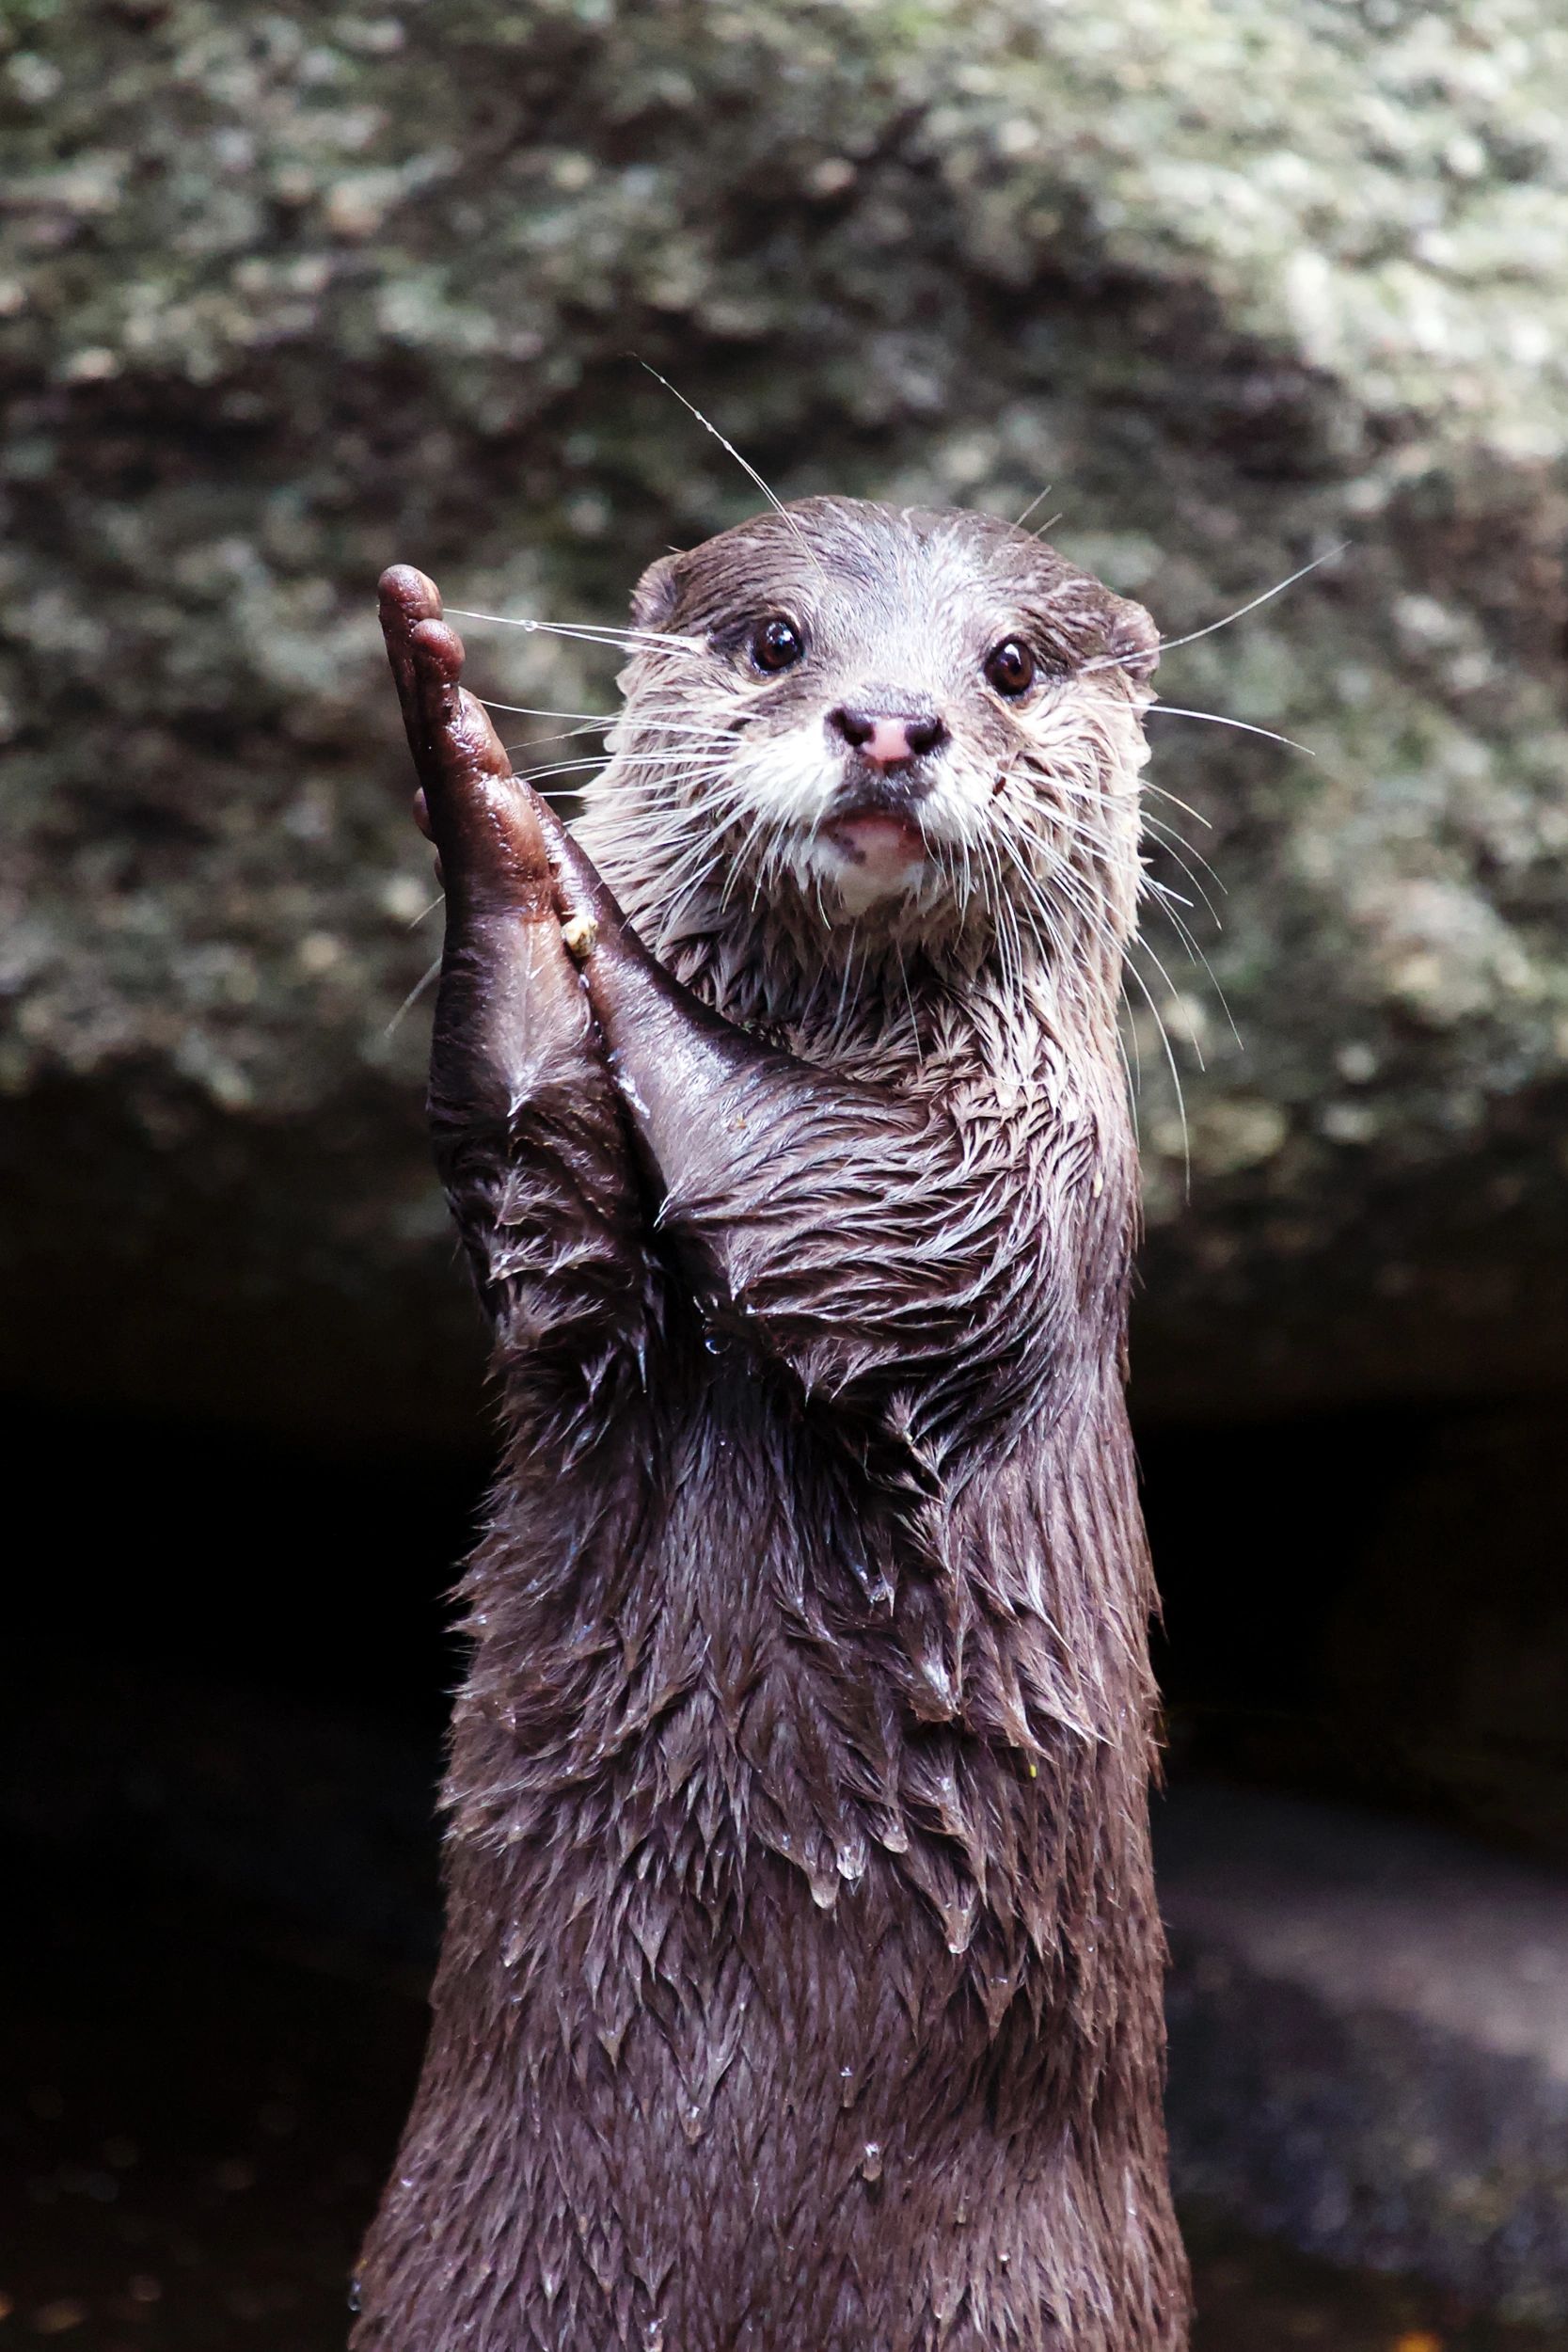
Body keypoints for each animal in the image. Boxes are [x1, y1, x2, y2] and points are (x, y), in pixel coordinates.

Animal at [356, 499, 1188, 2351]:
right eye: (777, 641)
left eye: (1006, 663)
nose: (889, 724)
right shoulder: (575, 1290)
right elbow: (548, 1196)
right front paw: (492, 819)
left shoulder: (1017, 1189)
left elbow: (819, 1175)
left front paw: (542, 852)